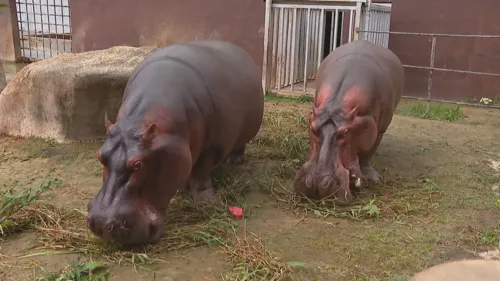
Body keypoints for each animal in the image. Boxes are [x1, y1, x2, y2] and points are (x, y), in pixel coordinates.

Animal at [86, 39, 266, 245]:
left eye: (138, 164)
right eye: (100, 156)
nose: (101, 223)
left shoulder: (212, 146)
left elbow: (201, 173)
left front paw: (206, 202)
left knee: (239, 145)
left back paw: (234, 160)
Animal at [294, 38, 404, 203]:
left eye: (345, 132)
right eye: (312, 128)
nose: (316, 184)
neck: (336, 106)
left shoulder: (379, 129)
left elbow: (368, 153)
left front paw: (374, 178)